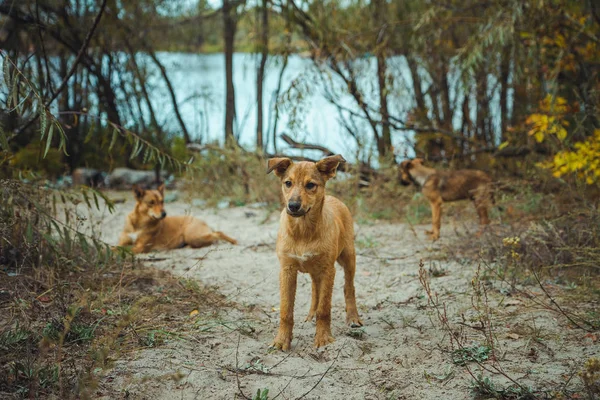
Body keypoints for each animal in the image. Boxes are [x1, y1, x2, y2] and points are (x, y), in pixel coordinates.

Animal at [266, 155, 360, 350]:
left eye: (310, 185)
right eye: (288, 183)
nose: (293, 206)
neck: (303, 231)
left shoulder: (328, 269)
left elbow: (324, 309)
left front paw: (323, 338)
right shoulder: (287, 270)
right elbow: (286, 310)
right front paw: (281, 340)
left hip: (348, 257)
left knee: (349, 287)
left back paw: (353, 318)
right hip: (315, 269)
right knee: (315, 289)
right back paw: (310, 316)